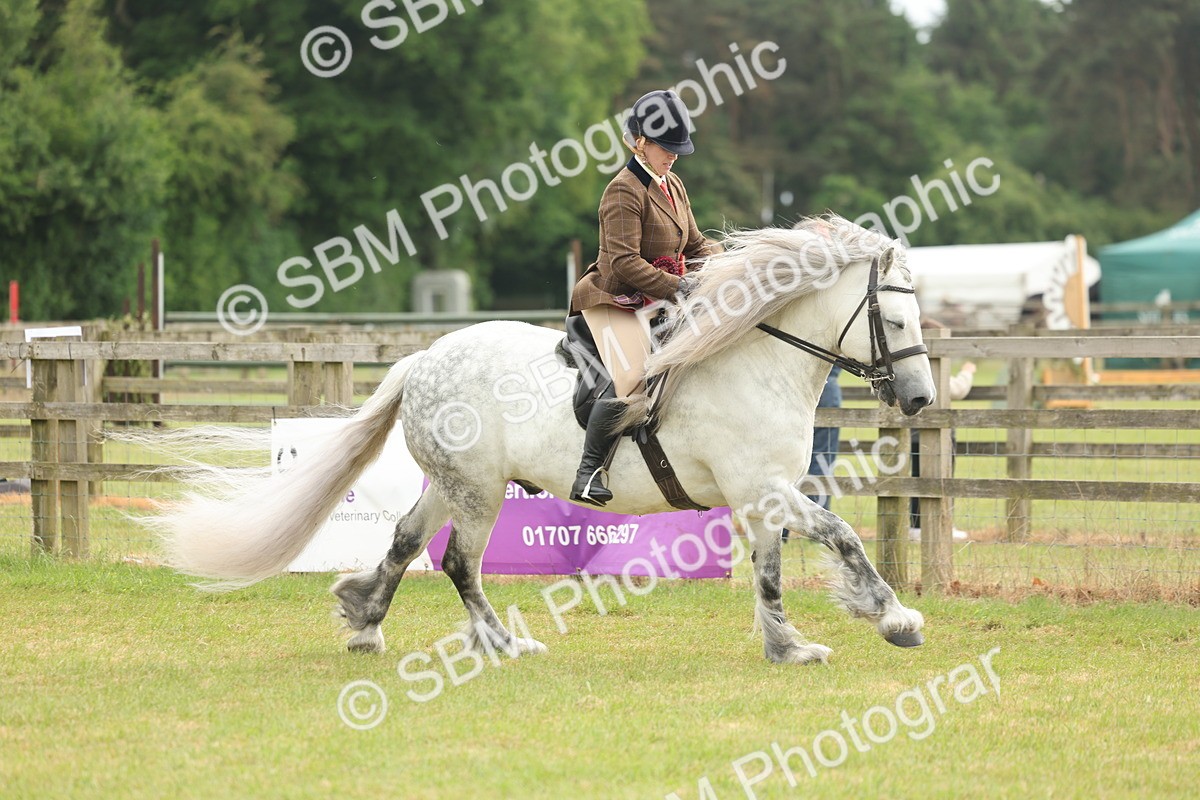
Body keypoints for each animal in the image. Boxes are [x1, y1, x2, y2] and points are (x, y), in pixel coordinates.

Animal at [147, 215, 935, 665]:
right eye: (896, 322)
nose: (921, 400)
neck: (754, 357)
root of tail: (422, 358)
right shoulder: (763, 488)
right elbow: (844, 535)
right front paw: (894, 616)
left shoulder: (762, 496)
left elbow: (771, 573)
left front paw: (788, 646)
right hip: (478, 491)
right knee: (460, 563)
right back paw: (502, 643)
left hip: (460, 484)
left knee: (406, 540)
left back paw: (365, 621)